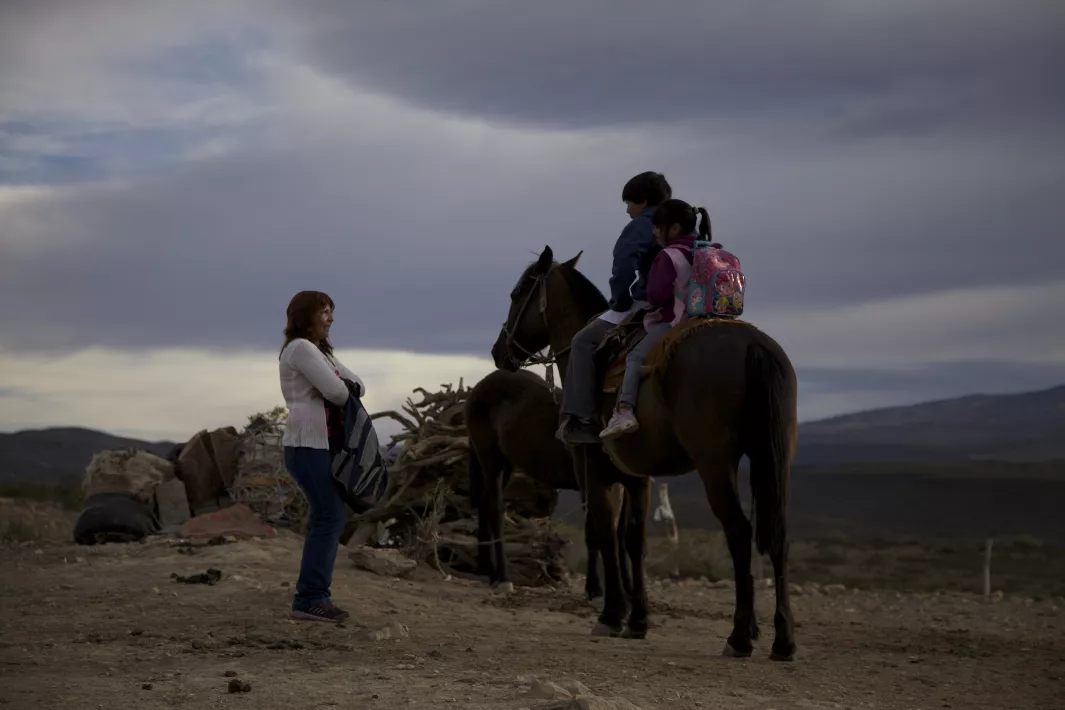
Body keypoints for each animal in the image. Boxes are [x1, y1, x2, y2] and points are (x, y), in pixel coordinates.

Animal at [466, 357, 630, 604]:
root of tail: (479, 387)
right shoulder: (592, 483)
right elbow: (596, 532)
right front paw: (597, 590)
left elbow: (618, 533)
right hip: (490, 459)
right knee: (495, 511)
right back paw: (503, 578)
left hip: (505, 464)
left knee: (485, 506)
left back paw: (488, 570)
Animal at [489, 244, 800, 659]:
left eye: (516, 294)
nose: (499, 351)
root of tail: (753, 345)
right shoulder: (638, 479)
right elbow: (634, 542)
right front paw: (637, 620)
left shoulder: (594, 473)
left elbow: (605, 535)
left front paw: (611, 615)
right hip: (773, 460)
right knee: (778, 536)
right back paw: (782, 639)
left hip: (716, 465)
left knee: (738, 532)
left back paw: (739, 637)